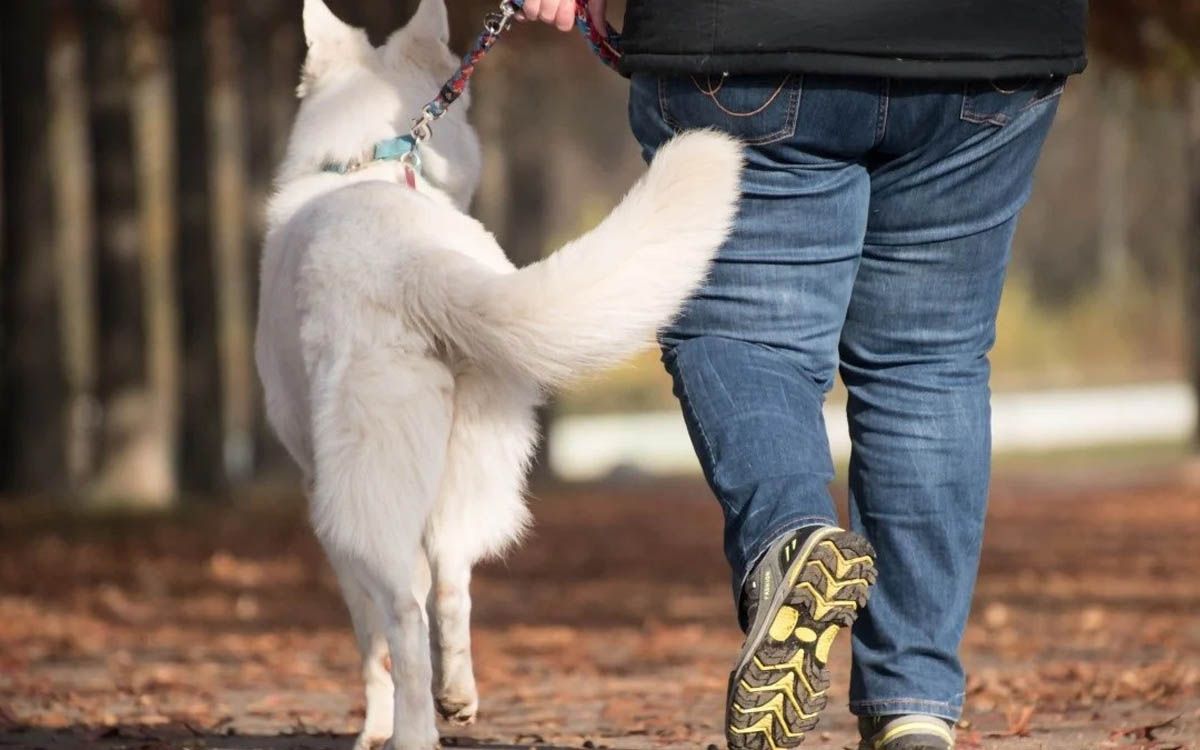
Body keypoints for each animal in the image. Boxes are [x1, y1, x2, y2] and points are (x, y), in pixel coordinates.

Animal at [254, 2, 739, 744]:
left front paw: (371, 725)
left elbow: (369, 642)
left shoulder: (320, 492)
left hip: (362, 492)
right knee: (453, 582)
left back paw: (412, 731)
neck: (367, 164)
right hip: (473, 460)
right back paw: (457, 697)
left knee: (403, 613)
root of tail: (411, 261)